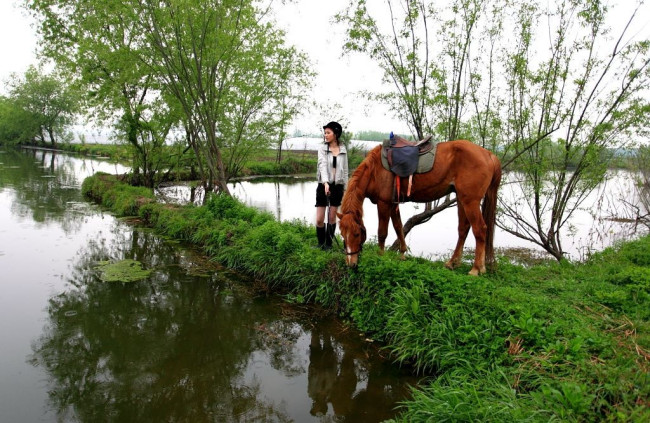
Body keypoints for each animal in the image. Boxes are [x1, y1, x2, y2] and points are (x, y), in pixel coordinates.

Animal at [336, 141, 498, 276]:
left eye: (357, 234)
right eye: (343, 235)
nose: (351, 264)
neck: (375, 170)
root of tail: (488, 154)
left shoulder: (384, 203)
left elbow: (382, 232)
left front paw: (380, 256)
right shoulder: (394, 204)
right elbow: (398, 227)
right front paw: (402, 254)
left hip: (470, 201)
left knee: (480, 229)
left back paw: (476, 269)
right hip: (461, 199)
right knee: (463, 229)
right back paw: (453, 263)